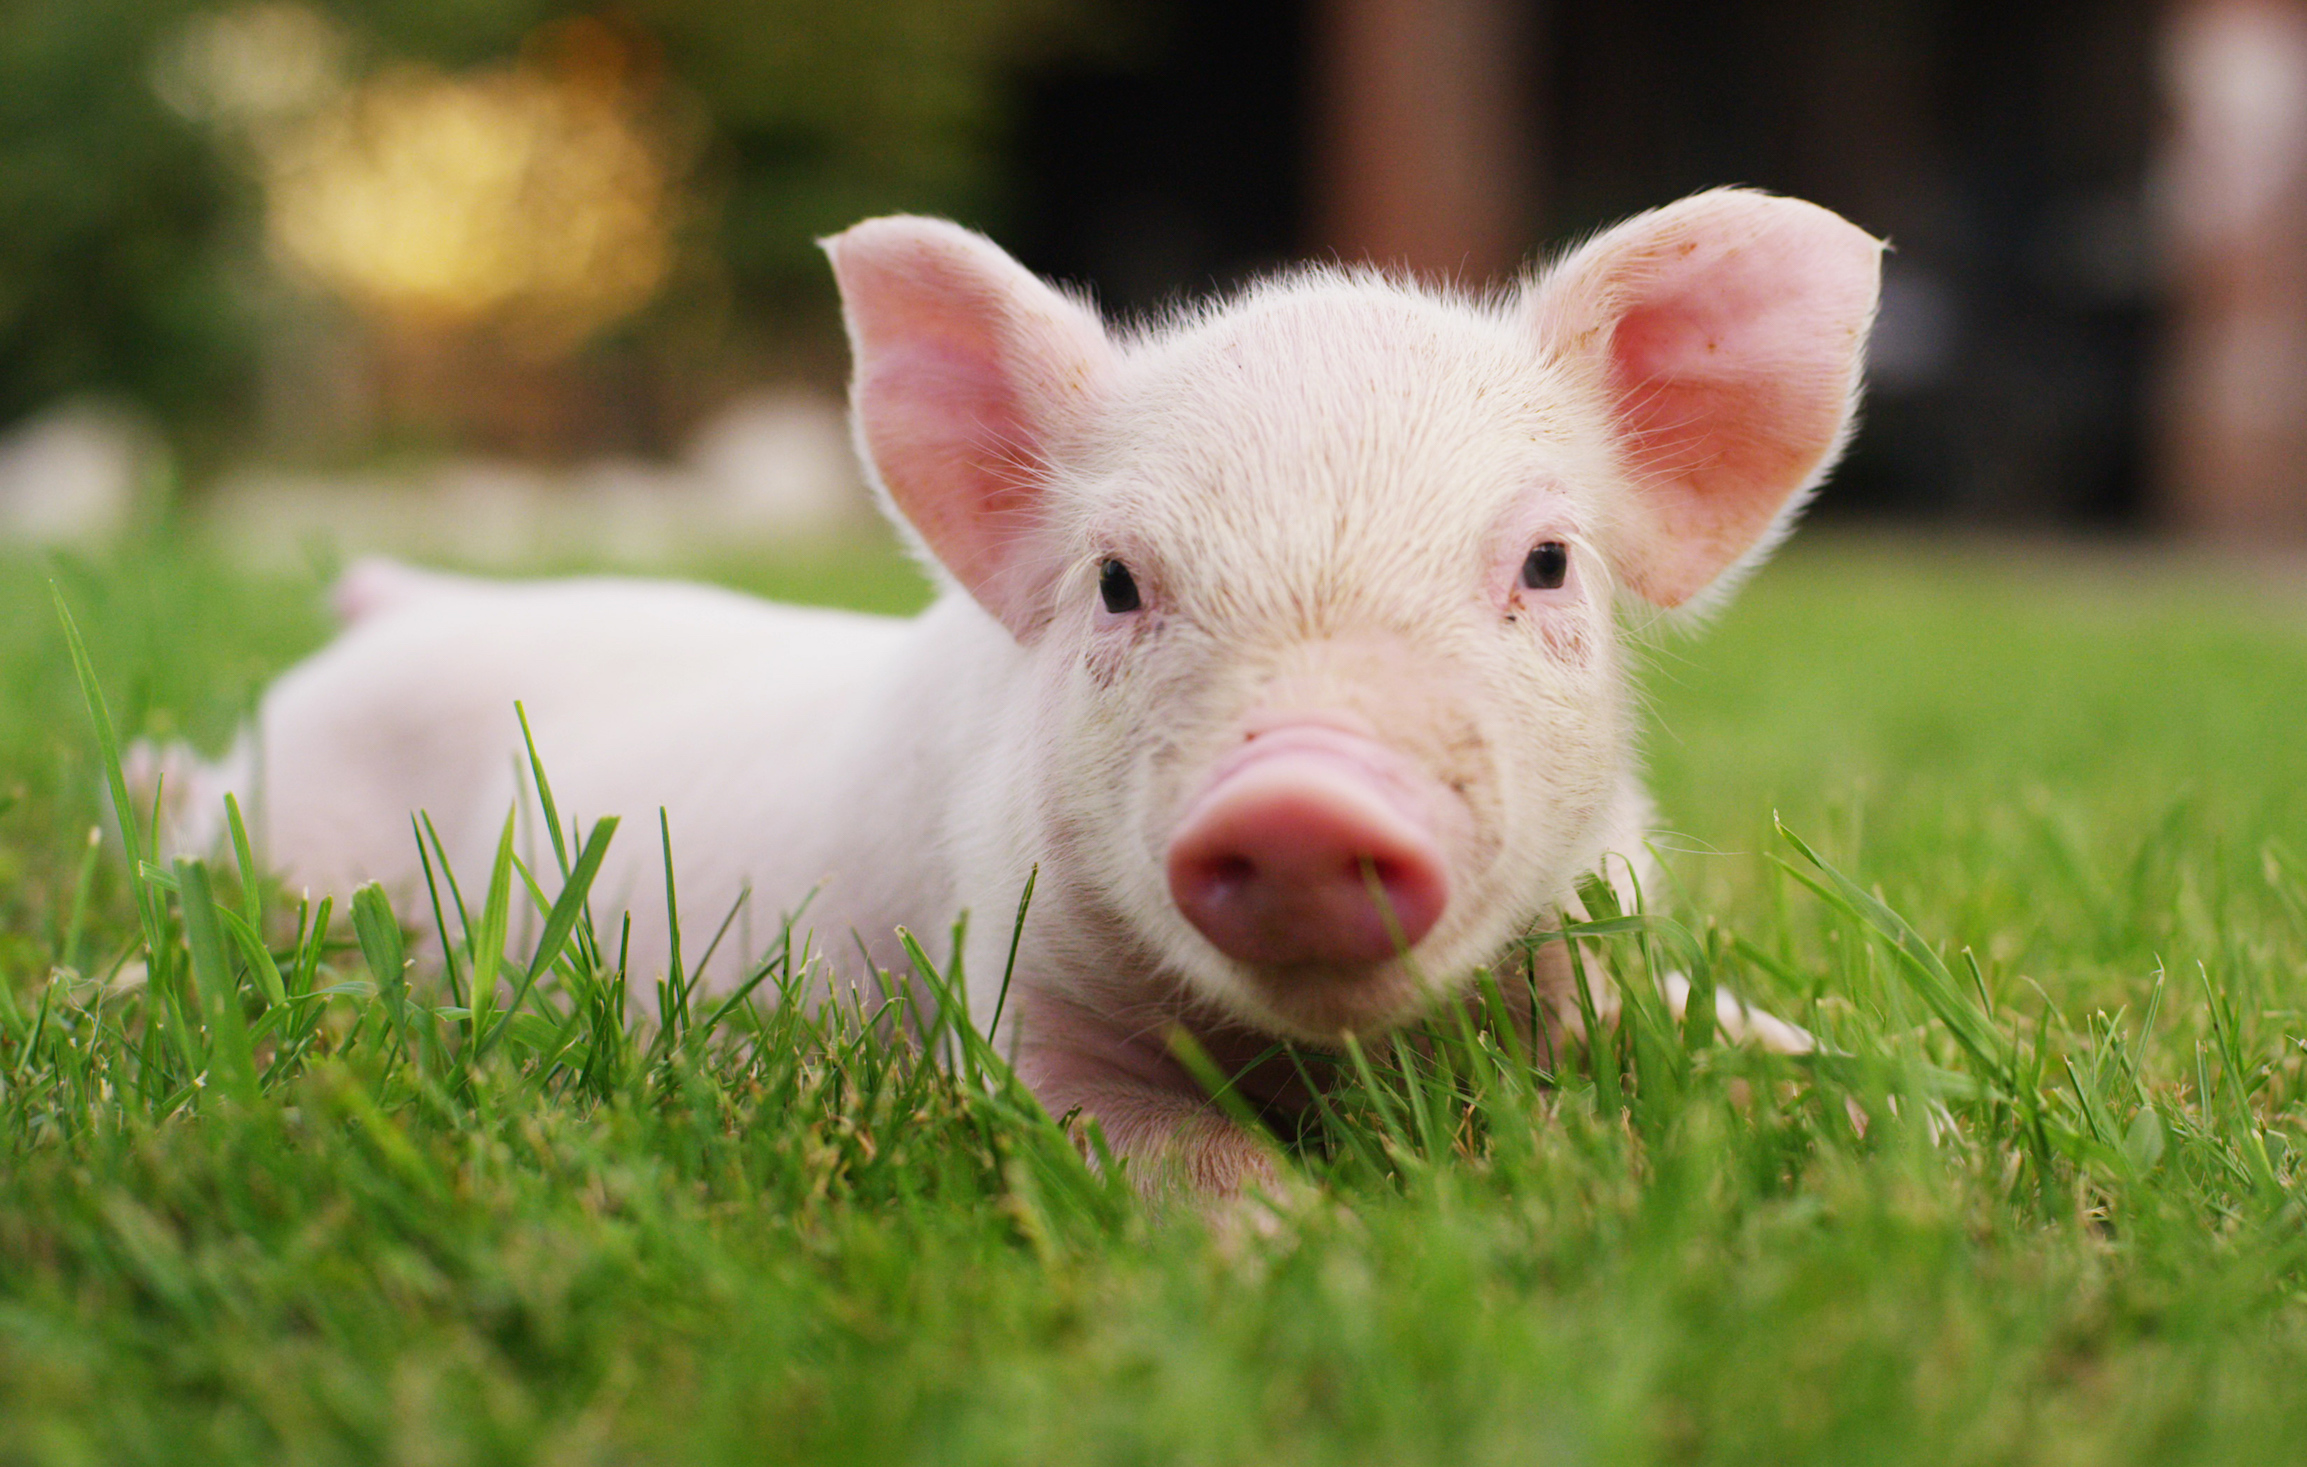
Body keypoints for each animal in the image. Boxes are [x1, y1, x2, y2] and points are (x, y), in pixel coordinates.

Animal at [160, 188, 1879, 1194]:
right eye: (1116, 582)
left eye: (1543, 563)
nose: (1304, 791)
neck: (1317, 1057)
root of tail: (405, 600)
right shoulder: (1008, 992)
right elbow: (1164, 1153)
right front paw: (1316, 1245)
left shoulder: (1590, 936)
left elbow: (1729, 1036)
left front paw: (1878, 1116)